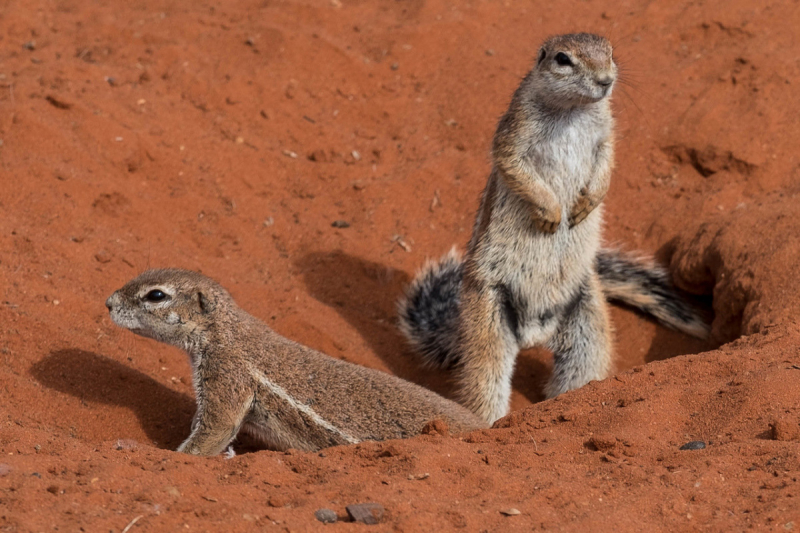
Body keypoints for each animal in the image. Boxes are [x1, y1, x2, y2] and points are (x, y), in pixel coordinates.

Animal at [398, 32, 708, 424]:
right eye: (563, 59)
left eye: (611, 53)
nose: (606, 80)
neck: (573, 109)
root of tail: (534, 334)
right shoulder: (514, 132)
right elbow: (515, 166)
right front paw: (551, 213)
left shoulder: (606, 136)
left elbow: (607, 162)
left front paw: (586, 204)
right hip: (489, 318)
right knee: (485, 380)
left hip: (587, 318)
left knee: (579, 370)